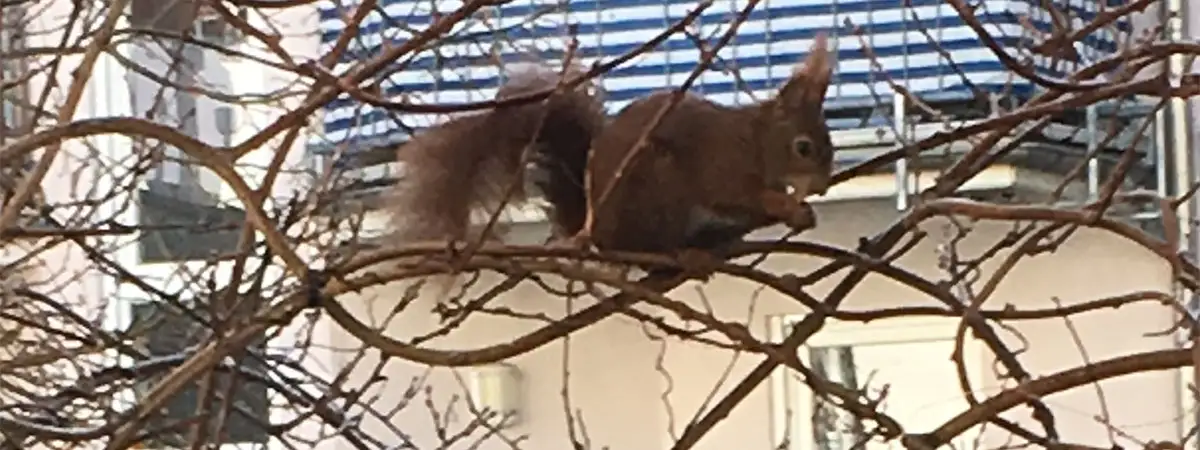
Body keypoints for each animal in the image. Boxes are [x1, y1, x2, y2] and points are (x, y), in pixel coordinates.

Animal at [386, 33, 835, 270]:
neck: (756, 141)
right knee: (652, 248)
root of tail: (597, 232)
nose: (824, 186)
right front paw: (786, 204)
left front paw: (803, 210)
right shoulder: (722, 162)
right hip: (658, 184)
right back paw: (684, 253)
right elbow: (735, 195)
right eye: (804, 148)